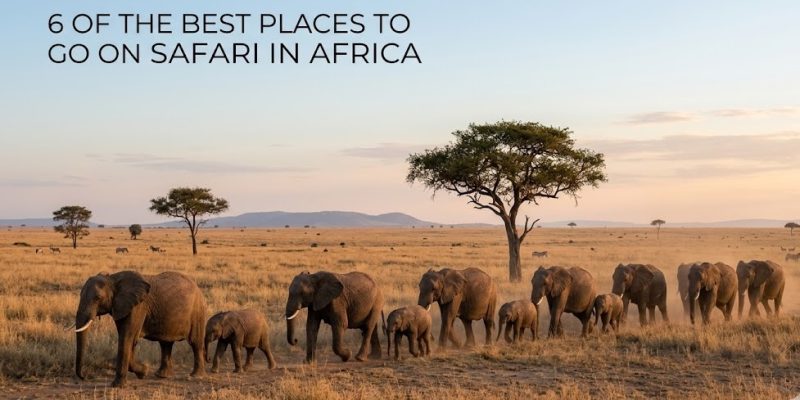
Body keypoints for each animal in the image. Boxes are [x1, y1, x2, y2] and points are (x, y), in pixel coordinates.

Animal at [72, 271, 207, 387]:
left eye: (98, 298)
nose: (85, 377)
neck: (113, 279)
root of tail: (197, 287)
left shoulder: (138, 307)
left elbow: (127, 338)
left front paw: (118, 386)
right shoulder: (121, 306)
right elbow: (129, 340)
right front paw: (143, 372)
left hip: (197, 312)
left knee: (195, 343)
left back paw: (195, 376)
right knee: (165, 343)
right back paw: (161, 376)